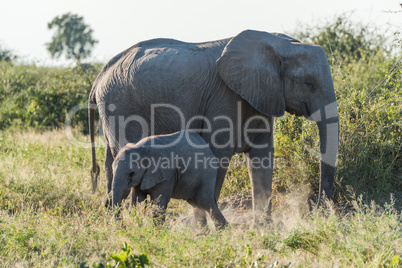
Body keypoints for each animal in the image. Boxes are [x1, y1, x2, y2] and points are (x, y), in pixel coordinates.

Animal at [88, 29, 340, 220]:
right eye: (307, 83)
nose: (319, 211)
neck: (280, 44)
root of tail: (99, 77)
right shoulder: (225, 97)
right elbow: (218, 155)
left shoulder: (260, 96)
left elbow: (262, 157)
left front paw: (262, 230)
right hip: (122, 107)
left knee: (112, 162)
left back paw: (113, 220)